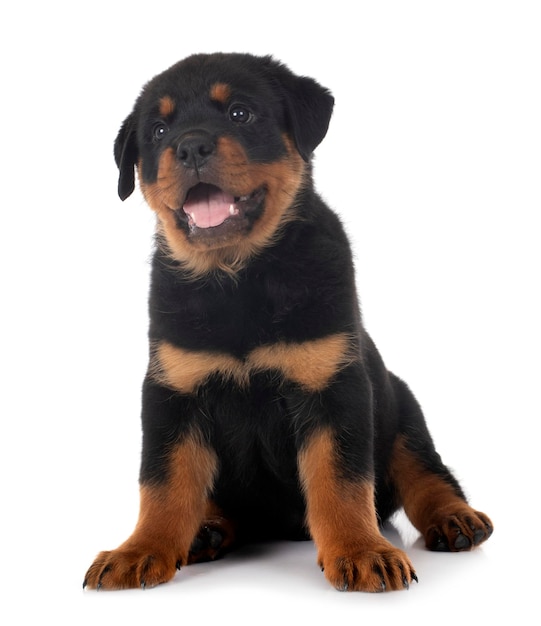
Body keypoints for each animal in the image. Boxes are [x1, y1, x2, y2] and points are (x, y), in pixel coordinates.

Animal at [82, 52, 492, 588]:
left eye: (240, 113)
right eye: (158, 130)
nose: (190, 146)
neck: (239, 277)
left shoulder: (333, 386)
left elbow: (340, 480)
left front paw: (361, 551)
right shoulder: (173, 390)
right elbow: (163, 482)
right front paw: (139, 550)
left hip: (400, 404)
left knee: (423, 468)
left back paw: (455, 518)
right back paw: (207, 529)